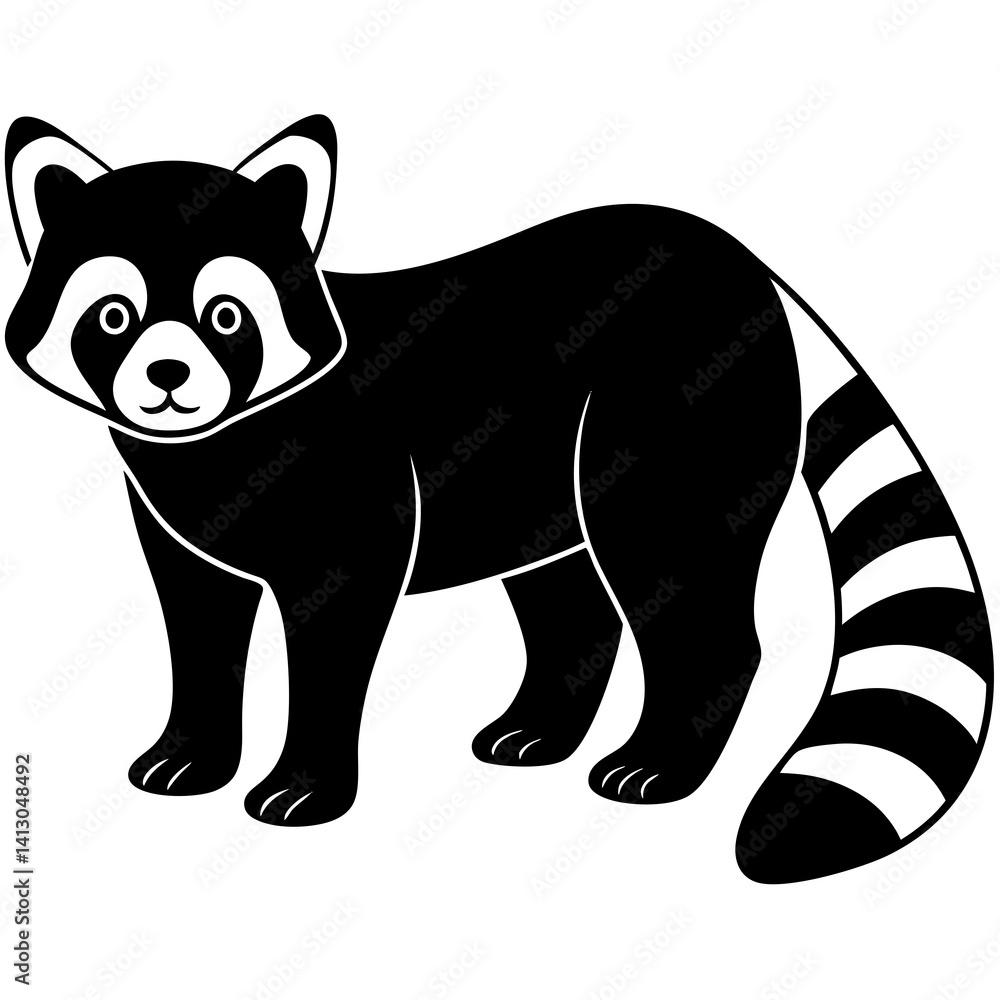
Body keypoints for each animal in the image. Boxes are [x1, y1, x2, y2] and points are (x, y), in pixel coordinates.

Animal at [5, 114, 991, 883]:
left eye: (225, 317)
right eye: (113, 317)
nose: (168, 378)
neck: (217, 443)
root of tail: (738, 257)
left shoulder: (354, 499)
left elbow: (331, 635)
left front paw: (305, 783)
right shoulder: (173, 517)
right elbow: (199, 625)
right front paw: (192, 753)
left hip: (664, 421)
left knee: (685, 592)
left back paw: (662, 761)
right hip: (535, 480)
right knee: (571, 602)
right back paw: (542, 728)